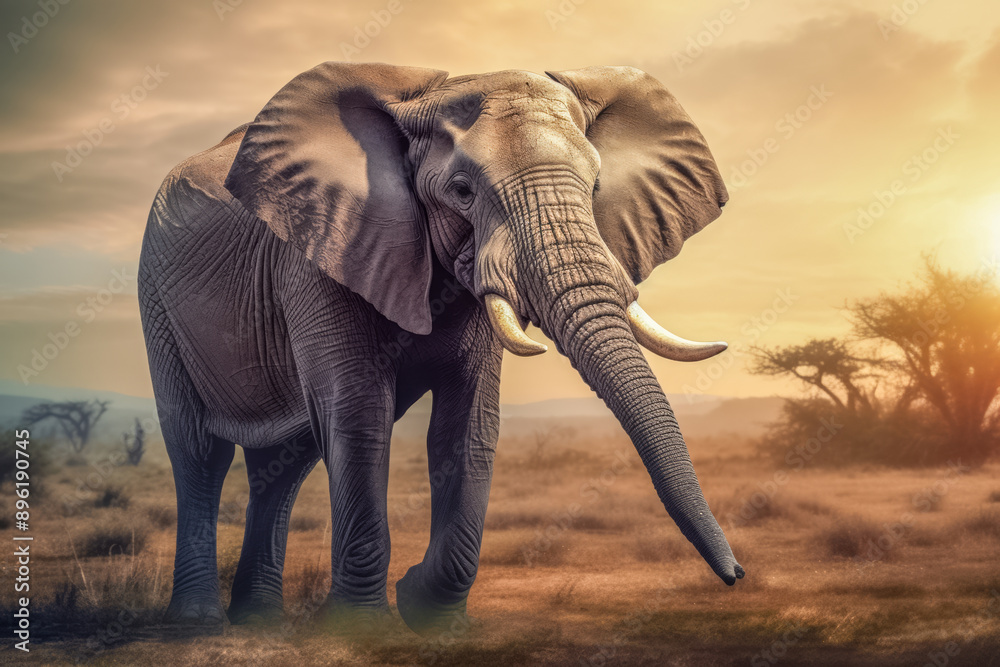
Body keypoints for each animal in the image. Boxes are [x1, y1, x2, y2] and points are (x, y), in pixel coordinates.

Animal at [138, 61, 743, 635]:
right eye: (462, 192)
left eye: (596, 189)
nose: (736, 574)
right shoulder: (320, 249)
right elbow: (359, 415)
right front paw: (363, 629)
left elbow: (468, 425)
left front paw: (425, 610)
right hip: (156, 299)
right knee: (199, 451)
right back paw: (197, 621)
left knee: (285, 463)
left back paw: (259, 620)